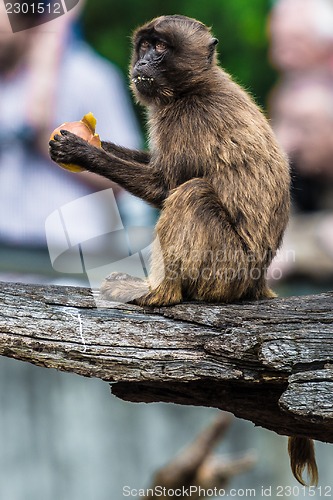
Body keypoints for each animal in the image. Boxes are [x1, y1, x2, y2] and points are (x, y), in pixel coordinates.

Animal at [49, 14, 316, 484]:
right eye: (145, 46)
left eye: (160, 48)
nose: (142, 63)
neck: (194, 86)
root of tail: (257, 280)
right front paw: (94, 141)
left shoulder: (189, 118)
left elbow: (164, 186)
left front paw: (82, 150)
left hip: (225, 270)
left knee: (192, 194)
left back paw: (160, 293)